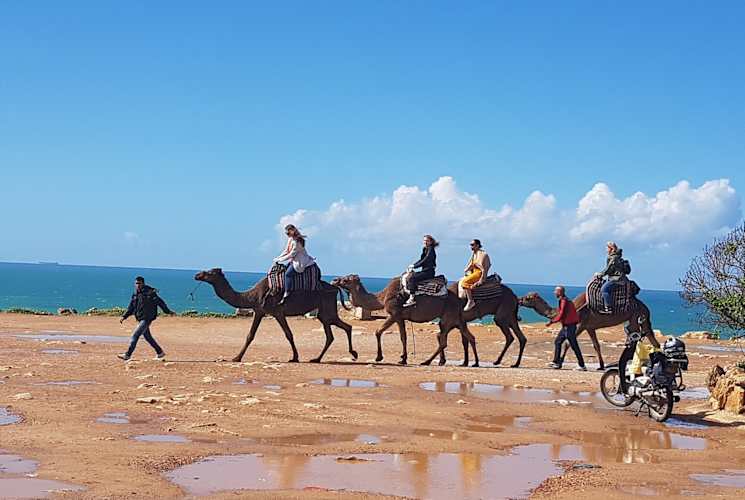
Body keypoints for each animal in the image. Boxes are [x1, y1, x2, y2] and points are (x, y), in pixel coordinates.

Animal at [194, 268, 357, 363]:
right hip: (325, 311)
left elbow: (288, 334)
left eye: (210, 272)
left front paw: (294, 358)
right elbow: (250, 335)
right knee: (339, 330)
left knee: (336, 330)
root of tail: (335, 288)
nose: (197, 275)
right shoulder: (260, 311)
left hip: (327, 307)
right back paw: (328, 357)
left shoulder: (276, 311)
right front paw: (236, 357)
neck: (252, 296)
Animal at [331, 275, 478, 367]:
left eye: (346, 279)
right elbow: (403, 337)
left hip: (448, 317)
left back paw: (426, 362)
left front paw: (379, 357)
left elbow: (378, 331)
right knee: (469, 336)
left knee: (443, 341)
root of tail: (459, 300)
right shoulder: (400, 318)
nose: (334, 280)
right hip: (457, 319)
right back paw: (474, 363)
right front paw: (403, 359)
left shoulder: (394, 313)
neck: (382, 297)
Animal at [518, 291, 659, 370]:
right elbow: (596, 345)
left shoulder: (580, 324)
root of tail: (645, 307)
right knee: (650, 338)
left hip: (635, 316)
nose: (519, 300)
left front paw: (560, 363)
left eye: (528, 298)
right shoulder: (590, 327)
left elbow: (568, 343)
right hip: (640, 319)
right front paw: (601, 366)